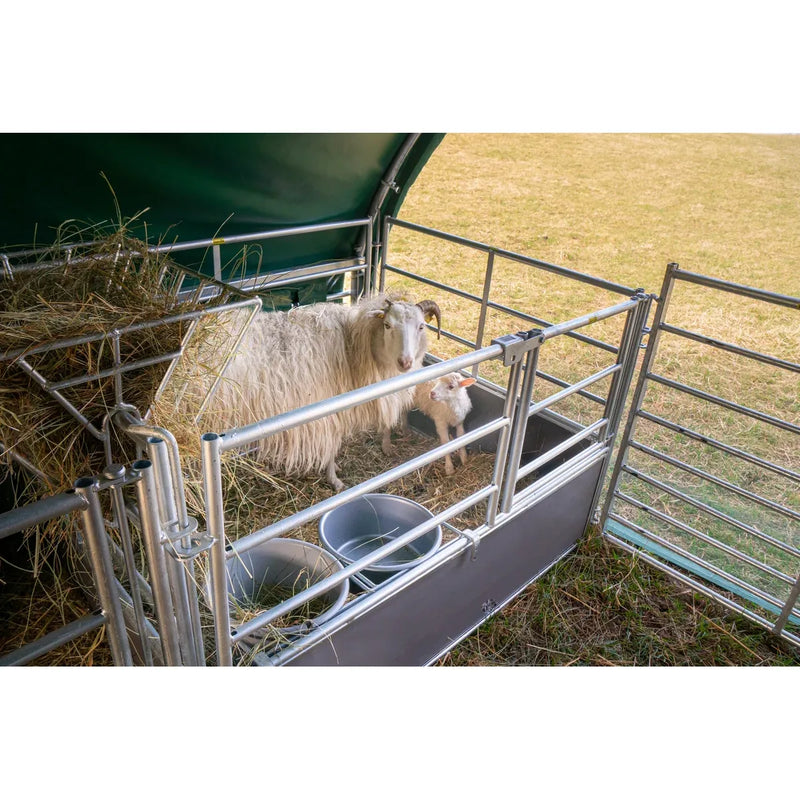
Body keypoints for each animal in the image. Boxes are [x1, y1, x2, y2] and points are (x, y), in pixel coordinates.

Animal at [209, 292, 441, 491]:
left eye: (421, 326)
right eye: (387, 325)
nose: (405, 362)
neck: (352, 344)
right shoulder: (326, 411)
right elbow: (331, 448)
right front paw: (335, 480)